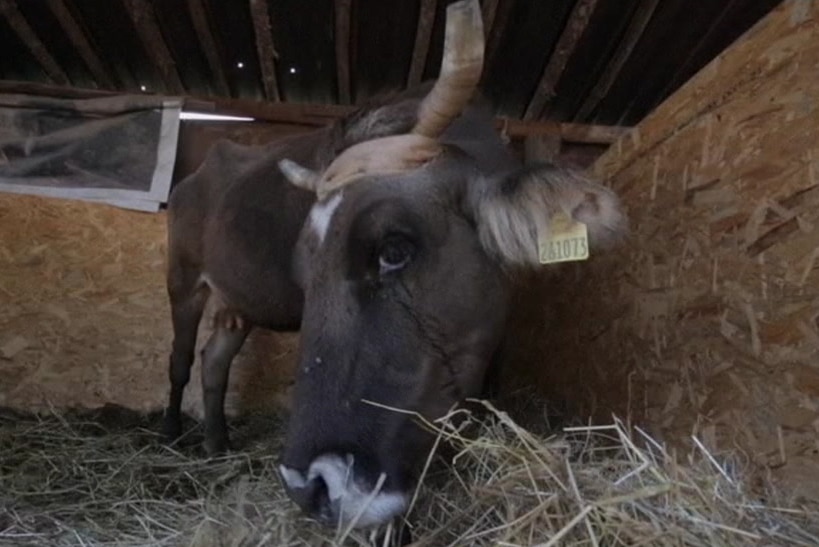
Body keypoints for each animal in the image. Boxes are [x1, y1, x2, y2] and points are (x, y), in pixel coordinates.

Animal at [165, 0, 628, 532]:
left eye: (394, 249)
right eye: (305, 272)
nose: (310, 486)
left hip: (234, 305)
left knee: (214, 359)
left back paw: (217, 444)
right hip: (182, 280)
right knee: (181, 359)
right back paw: (171, 433)